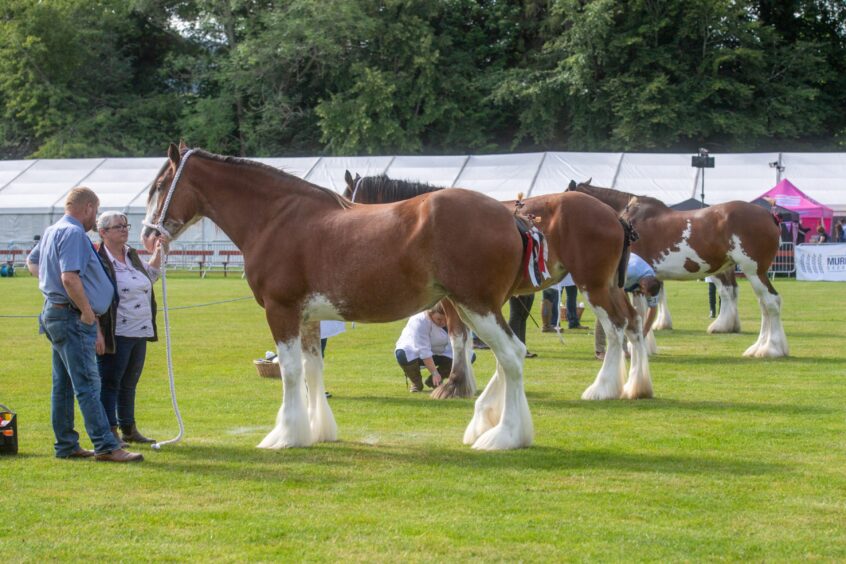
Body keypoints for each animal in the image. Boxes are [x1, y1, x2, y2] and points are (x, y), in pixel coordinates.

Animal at [139, 144, 536, 450]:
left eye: (159, 185)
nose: (146, 236)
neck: (275, 219)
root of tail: (511, 217)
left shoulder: (281, 311)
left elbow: (291, 371)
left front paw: (285, 435)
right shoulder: (308, 317)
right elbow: (313, 369)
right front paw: (316, 430)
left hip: (477, 305)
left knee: (511, 356)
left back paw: (504, 436)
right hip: (473, 308)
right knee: (504, 358)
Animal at [344, 172, 656, 400]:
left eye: (348, 196)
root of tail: (614, 216)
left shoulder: (454, 298)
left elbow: (458, 336)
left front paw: (455, 384)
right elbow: (466, 336)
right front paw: (465, 383)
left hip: (594, 285)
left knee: (616, 327)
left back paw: (602, 388)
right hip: (610, 286)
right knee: (633, 322)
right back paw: (636, 386)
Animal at [568, 181, 788, 356]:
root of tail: (769, 215)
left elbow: (640, 312)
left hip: (754, 271)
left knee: (771, 302)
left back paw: (771, 349)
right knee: (758, 303)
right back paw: (756, 346)